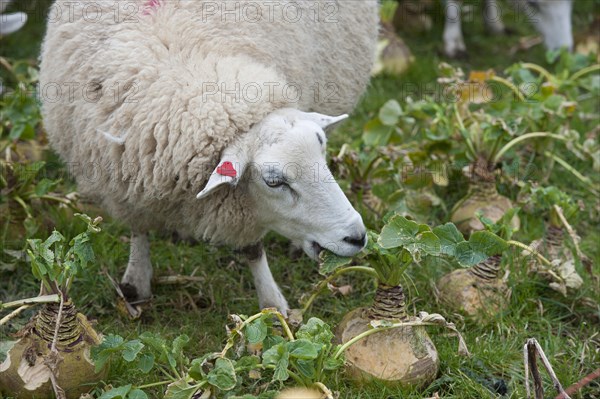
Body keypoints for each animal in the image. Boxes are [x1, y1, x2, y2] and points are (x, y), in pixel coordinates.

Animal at [39, 0, 380, 318]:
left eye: (323, 154)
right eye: (274, 181)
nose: (357, 236)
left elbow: (252, 249)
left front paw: (272, 306)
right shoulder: (126, 182)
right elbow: (138, 229)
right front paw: (135, 282)